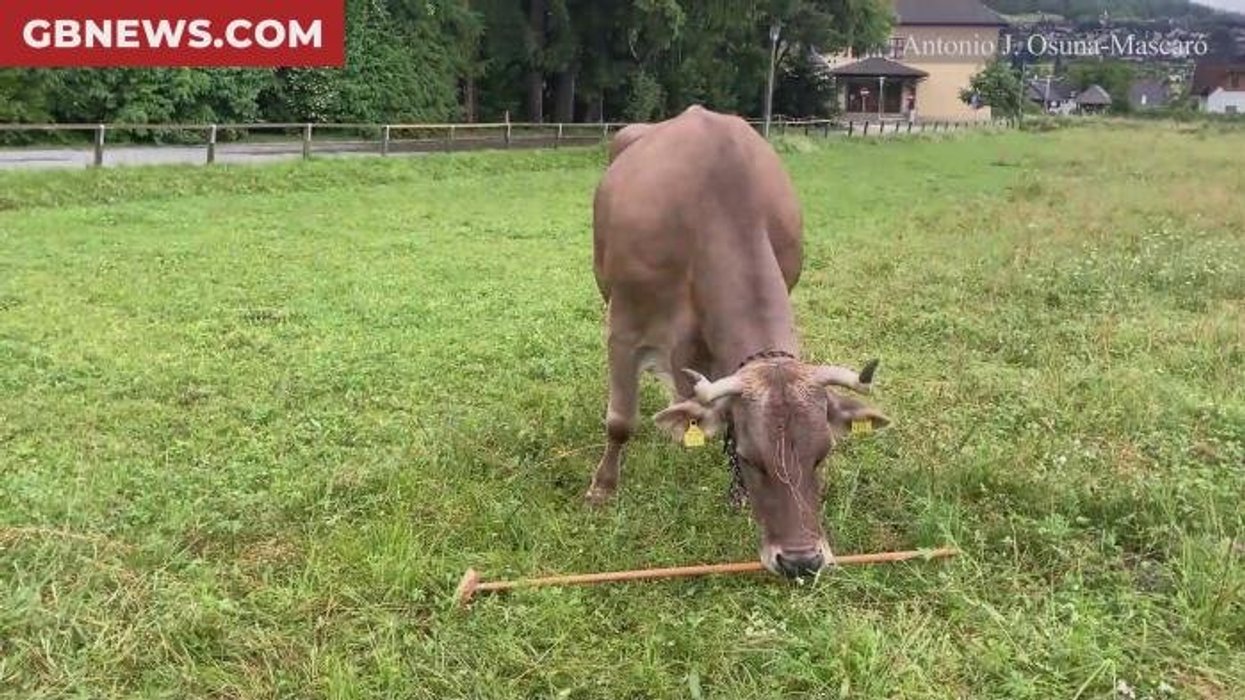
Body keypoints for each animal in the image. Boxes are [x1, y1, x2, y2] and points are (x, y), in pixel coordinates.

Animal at [587, 105, 892, 579]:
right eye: (752, 458)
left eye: (822, 455)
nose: (801, 561)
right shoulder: (624, 327)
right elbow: (620, 421)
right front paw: (603, 489)